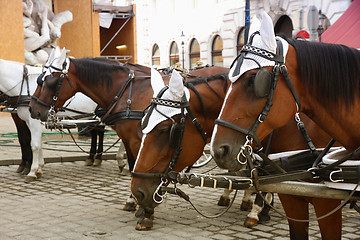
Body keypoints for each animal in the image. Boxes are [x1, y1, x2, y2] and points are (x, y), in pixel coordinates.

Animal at [28, 48, 228, 210]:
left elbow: (139, 165)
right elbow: (134, 164)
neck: (127, 91)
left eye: (50, 81)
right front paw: (134, 199)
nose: (32, 109)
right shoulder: (128, 138)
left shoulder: (139, 139)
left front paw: (141, 202)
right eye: (39, 79)